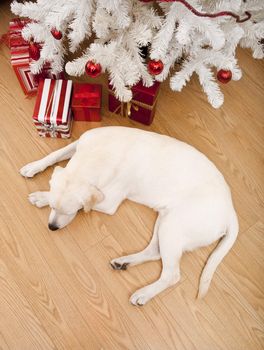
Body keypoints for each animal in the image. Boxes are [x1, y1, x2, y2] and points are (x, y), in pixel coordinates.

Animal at [20, 127, 238, 304]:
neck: (98, 156)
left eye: (69, 212)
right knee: (155, 252)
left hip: (173, 226)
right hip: (164, 221)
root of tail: (231, 211)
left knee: (172, 275)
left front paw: (41, 196)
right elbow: (55, 154)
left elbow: (87, 204)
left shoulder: (109, 202)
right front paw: (34, 167)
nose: (52, 227)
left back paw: (144, 293)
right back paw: (124, 262)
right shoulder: (79, 142)